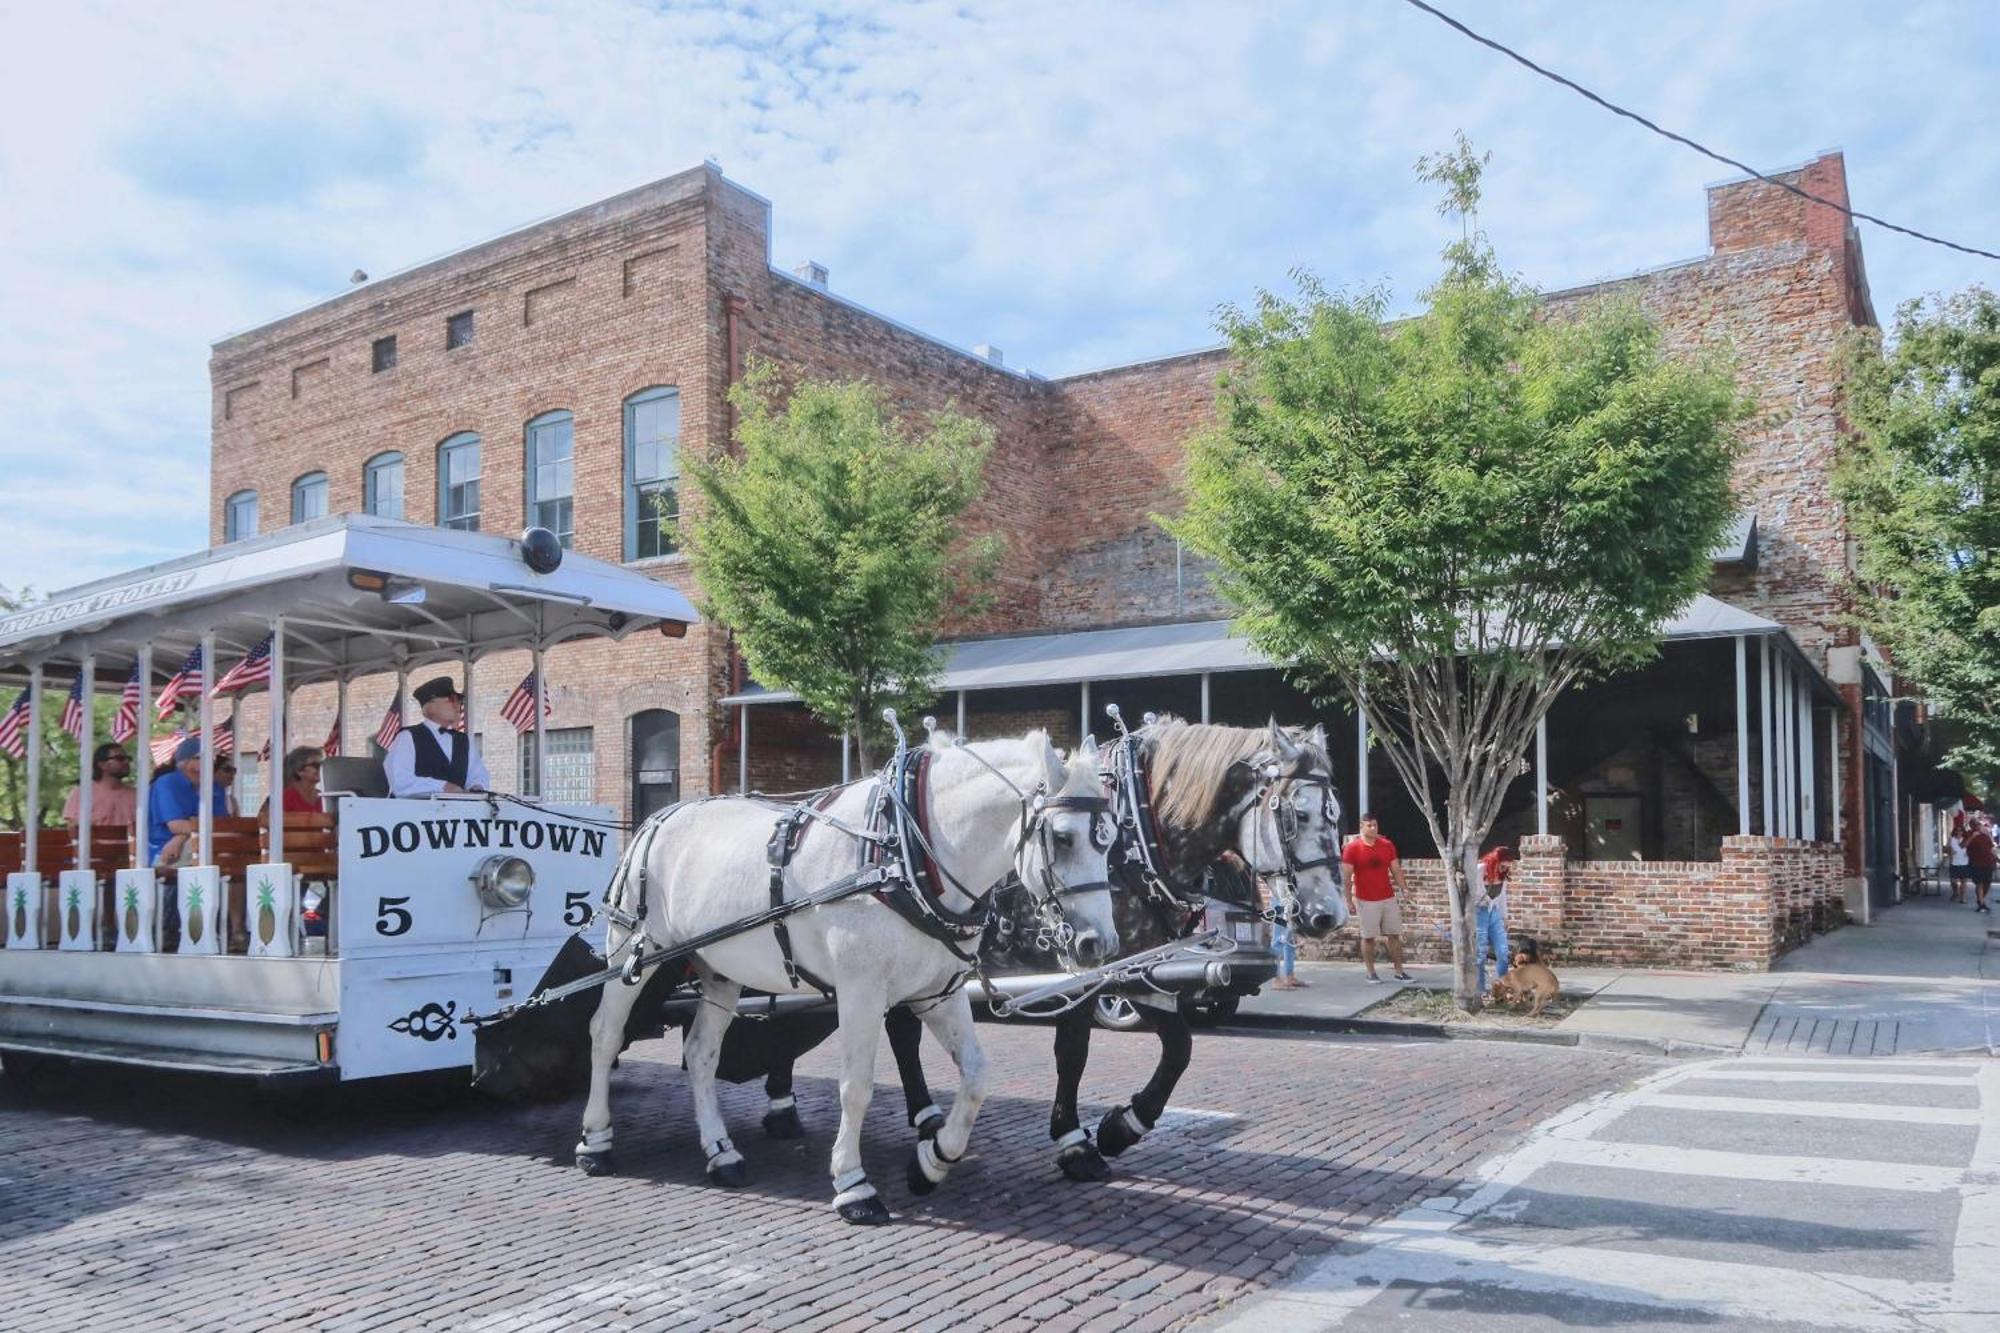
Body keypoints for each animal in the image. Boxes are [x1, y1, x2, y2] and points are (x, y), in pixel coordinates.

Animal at [576, 732, 1128, 1216]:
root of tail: (659, 816)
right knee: (604, 1033)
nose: (1099, 944)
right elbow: (856, 1085)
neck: (905, 853)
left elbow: (975, 1076)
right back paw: (596, 1141)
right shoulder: (861, 990)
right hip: (634, 952)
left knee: (701, 1054)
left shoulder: (938, 990)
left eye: (1110, 841)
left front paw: (932, 1161)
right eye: (1063, 837)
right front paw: (852, 1183)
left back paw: (721, 1152)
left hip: (719, 970)